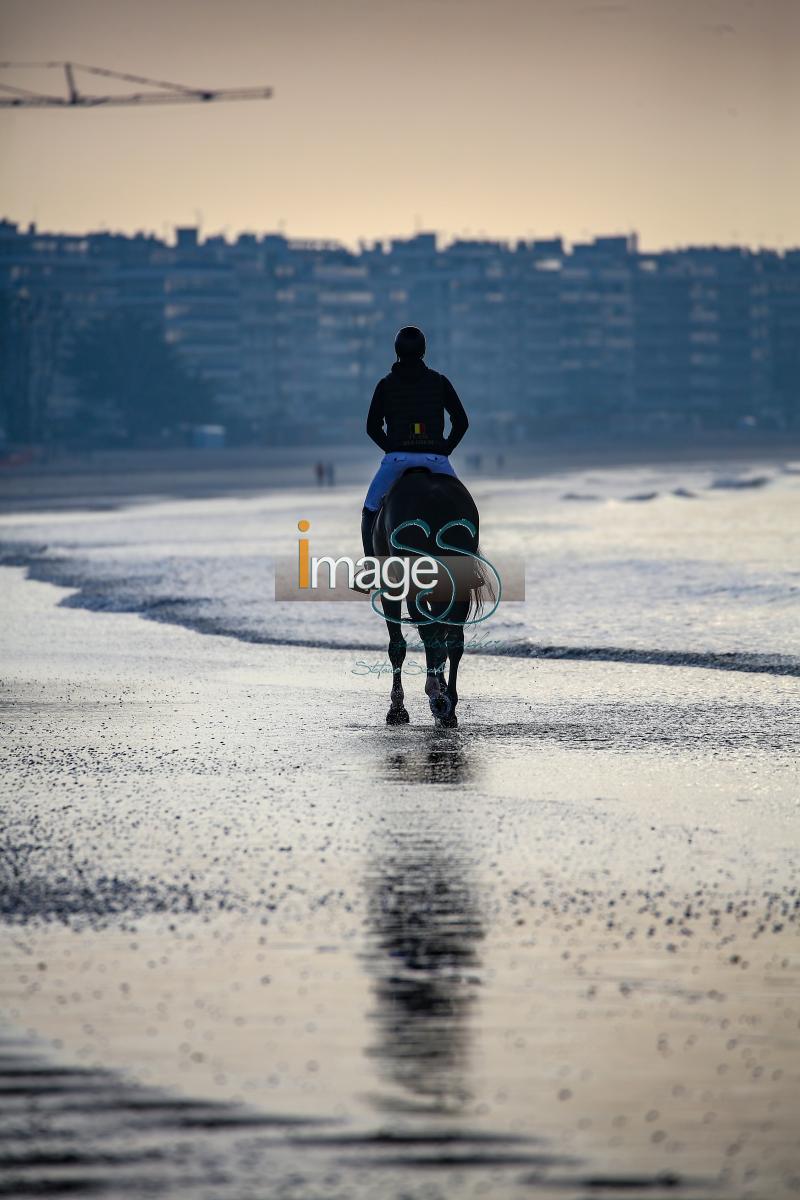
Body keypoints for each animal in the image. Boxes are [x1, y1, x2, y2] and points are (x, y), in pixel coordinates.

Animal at [367, 468, 491, 729]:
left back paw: (436, 696)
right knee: (453, 640)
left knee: (430, 635)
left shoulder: (391, 587)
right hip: (456, 584)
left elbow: (397, 646)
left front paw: (397, 710)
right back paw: (448, 706)